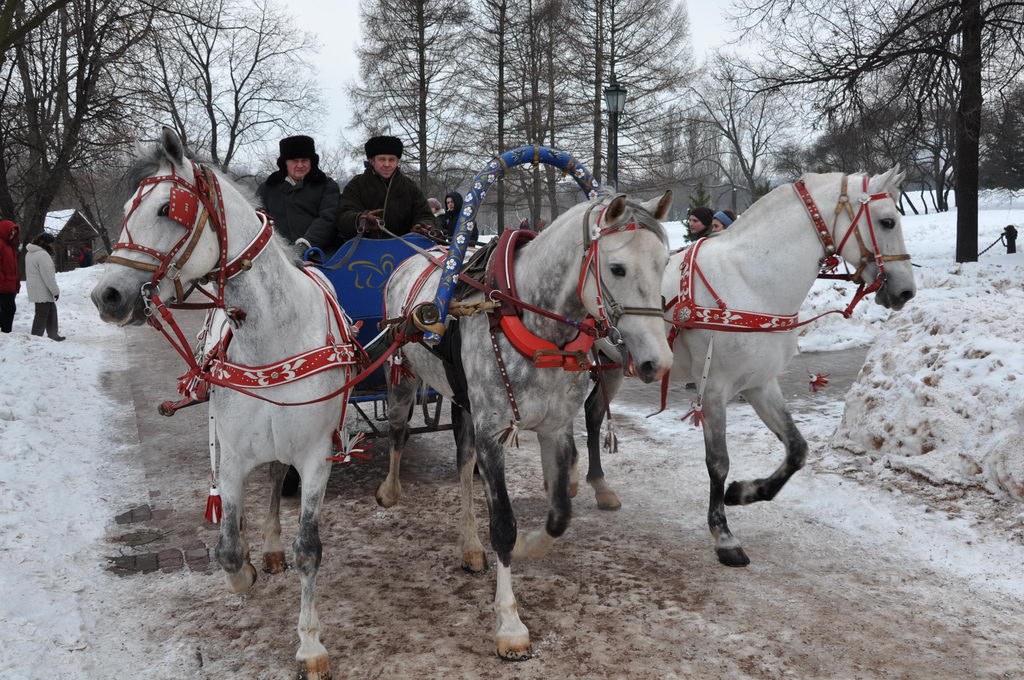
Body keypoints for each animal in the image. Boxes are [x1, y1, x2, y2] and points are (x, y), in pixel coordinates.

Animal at [90, 129, 344, 680]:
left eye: (168, 208)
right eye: (128, 208)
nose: (107, 296)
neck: (272, 336)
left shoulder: (316, 456)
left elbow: (309, 550)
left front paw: (310, 644)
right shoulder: (233, 455)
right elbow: (225, 547)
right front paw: (242, 571)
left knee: (276, 481)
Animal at [372, 192, 675, 659]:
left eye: (664, 261)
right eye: (617, 268)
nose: (657, 362)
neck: (532, 321)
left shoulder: (554, 428)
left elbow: (559, 514)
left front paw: (531, 545)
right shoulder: (493, 433)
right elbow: (503, 524)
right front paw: (510, 624)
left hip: (463, 403)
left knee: (464, 468)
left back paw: (470, 547)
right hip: (403, 373)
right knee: (399, 429)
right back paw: (390, 489)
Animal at [581, 168, 917, 569]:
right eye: (887, 221)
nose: (906, 291)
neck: (751, 283)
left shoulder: (761, 384)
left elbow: (796, 449)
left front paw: (744, 492)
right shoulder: (714, 389)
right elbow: (718, 462)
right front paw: (723, 535)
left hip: (615, 364)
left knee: (593, 412)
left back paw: (598, 486)